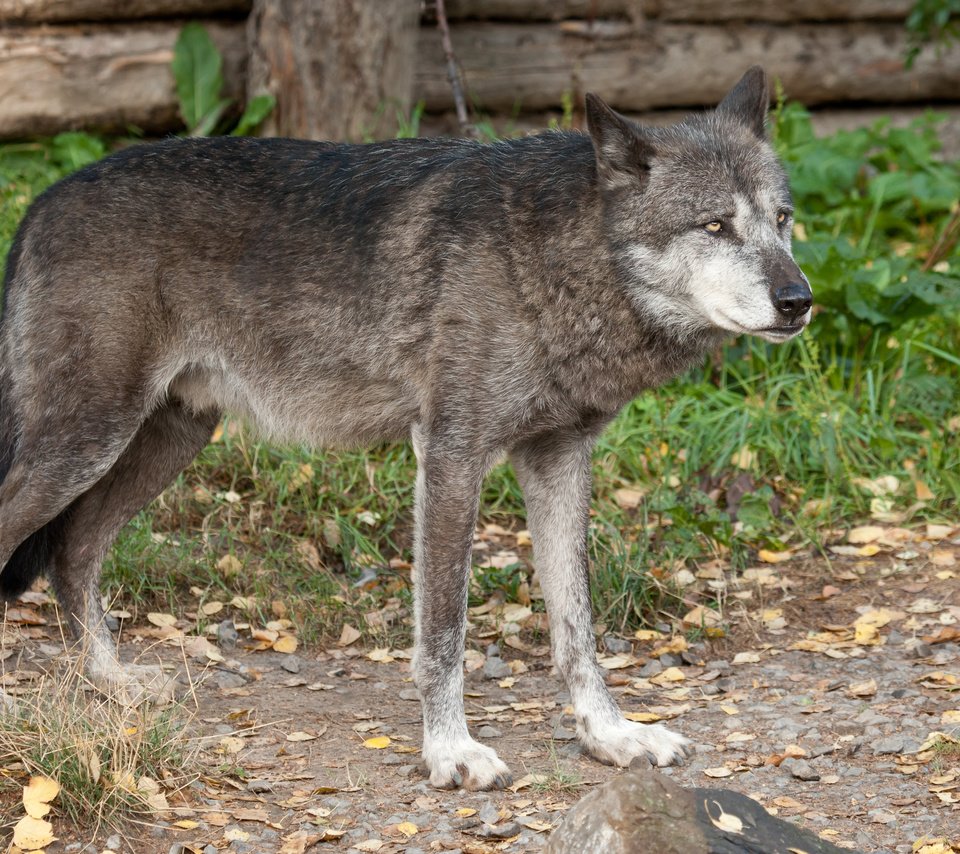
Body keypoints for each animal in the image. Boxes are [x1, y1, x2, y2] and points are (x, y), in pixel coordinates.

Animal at [0, 65, 808, 788]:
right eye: (714, 225)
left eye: (782, 221)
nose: (798, 299)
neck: (556, 259)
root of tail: (42, 200)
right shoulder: (451, 454)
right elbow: (444, 630)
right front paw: (451, 753)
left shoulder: (559, 458)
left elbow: (576, 625)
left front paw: (611, 736)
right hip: (84, 441)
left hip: (166, 441)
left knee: (74, 550)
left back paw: (112, 681)